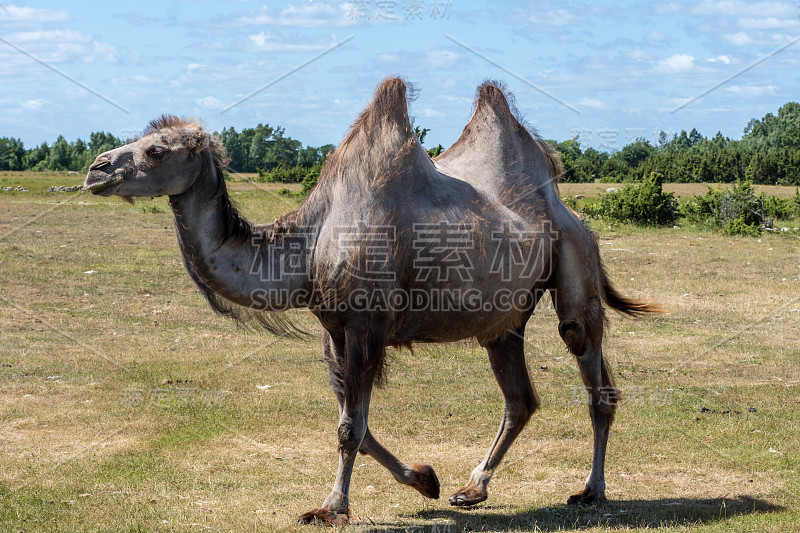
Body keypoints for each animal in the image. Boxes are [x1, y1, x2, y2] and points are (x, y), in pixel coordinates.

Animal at [84, 77, 660, 524]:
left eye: (158, 150)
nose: (97, 168)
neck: (310, 245)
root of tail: (565, 209)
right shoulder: (333, 331)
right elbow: (354, 426)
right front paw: (425, 479)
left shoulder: (365, 325)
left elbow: (348, 427)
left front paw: (331, 507)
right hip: (503, 320)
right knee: (520, 398)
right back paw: (471, 488)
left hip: (575, 258)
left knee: (590, 366)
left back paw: (590, 490)